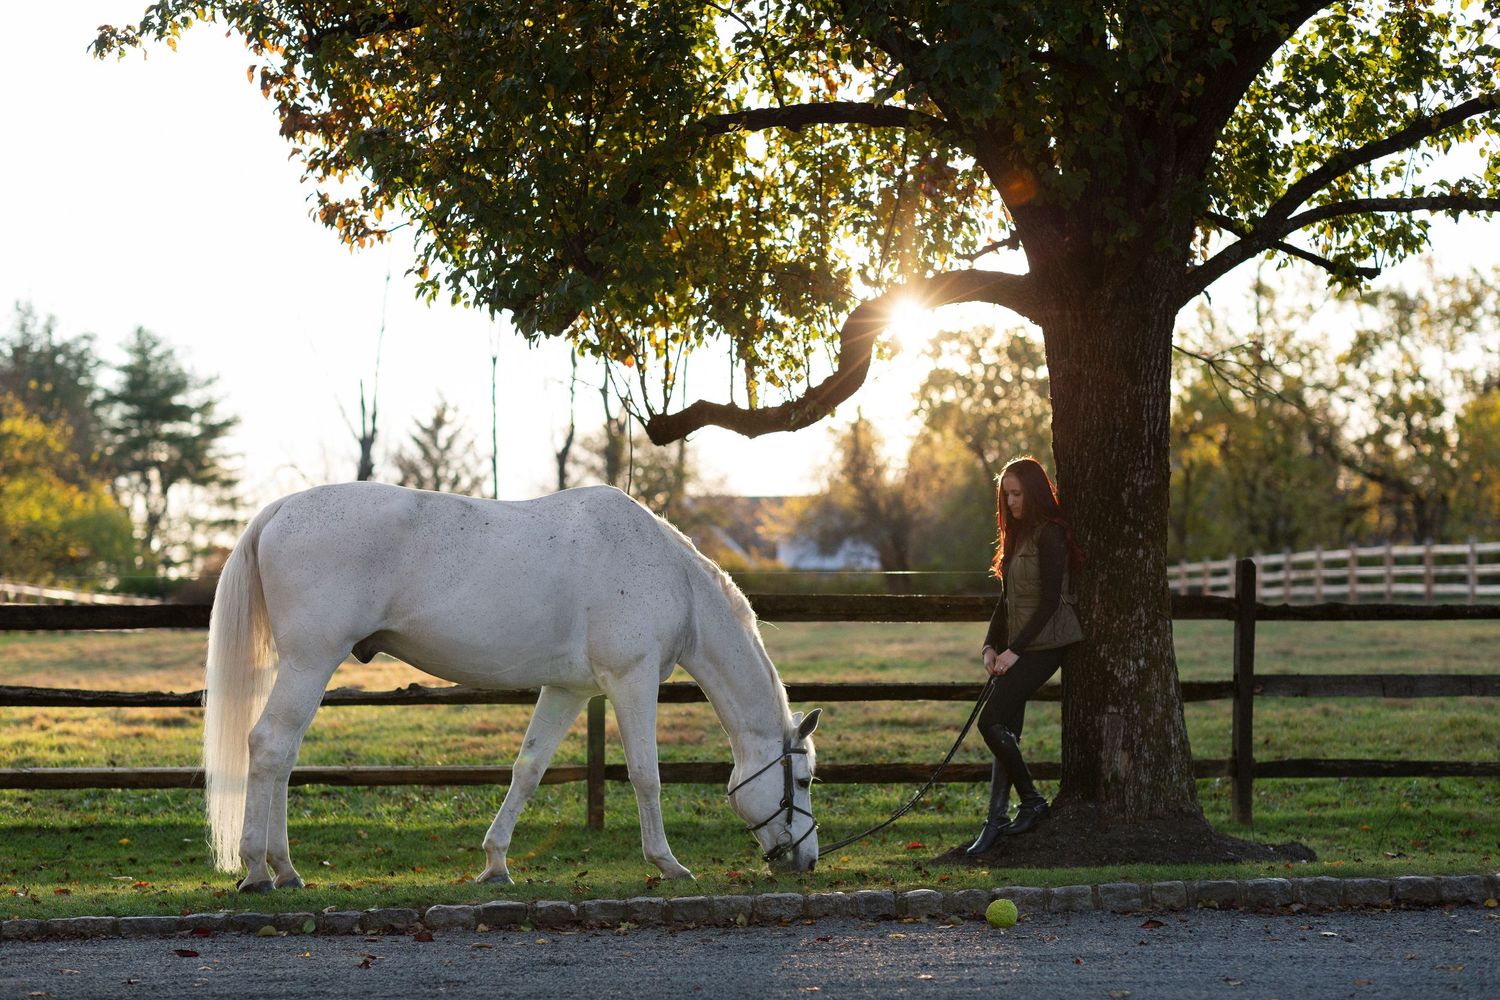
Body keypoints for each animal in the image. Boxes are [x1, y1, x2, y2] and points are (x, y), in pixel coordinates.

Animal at [203, 481, 821, 891]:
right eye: (805, 779)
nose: (808, 860)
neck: (675, 580)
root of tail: (281, 509)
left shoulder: (569, 690)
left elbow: (529, 770)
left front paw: (495, 863)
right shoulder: (632, 681)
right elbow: (646, 776)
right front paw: (667, 863)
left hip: (303, 667)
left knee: (283, 756)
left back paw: (284, 869)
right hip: (310, 663)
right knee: (270, 746)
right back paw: (258, 871)